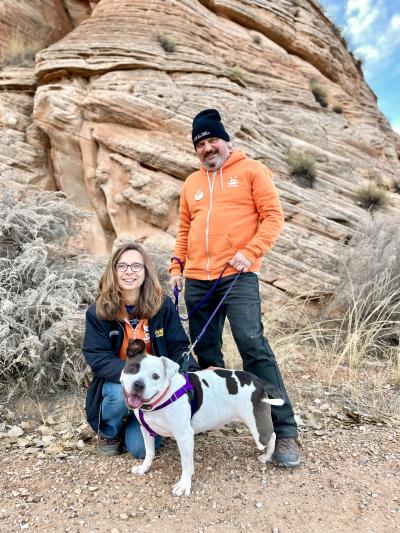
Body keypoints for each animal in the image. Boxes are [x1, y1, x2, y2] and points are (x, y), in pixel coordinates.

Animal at [120, 338, 282, 496]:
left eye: (155, 376)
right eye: (133, 368)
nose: (138, 385)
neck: (161, 399)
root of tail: (259, 381)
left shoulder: (184, 436)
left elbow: (185, 464)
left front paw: (184, 485)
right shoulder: (146, 431)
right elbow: (149, 452)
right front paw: (144, 468)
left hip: (258, 427)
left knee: (272, 436)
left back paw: (267, 457)